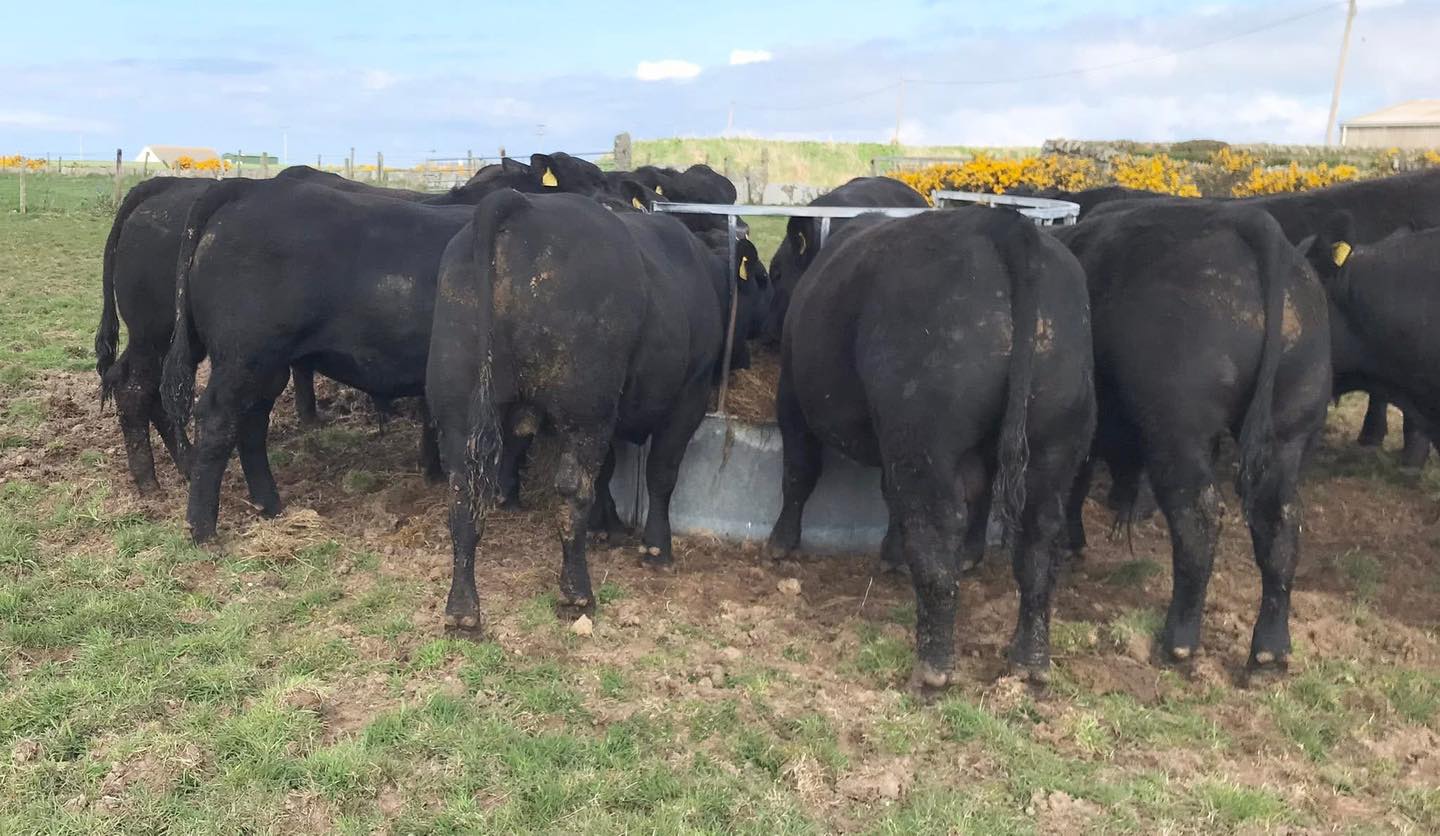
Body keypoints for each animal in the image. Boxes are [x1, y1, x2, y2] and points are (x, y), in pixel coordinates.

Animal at [425, 189, 769, 632]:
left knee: (463, 493)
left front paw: (610, 528)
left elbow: (608, 472)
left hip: (460, 409)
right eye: (762, 278)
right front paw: (656, 548)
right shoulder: (687, 397)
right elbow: (660, 474)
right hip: (583, 412)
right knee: (572, 492)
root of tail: (521, 206)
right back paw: (577, 594)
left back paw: (463, 610)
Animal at [765, 207, 1095, 691]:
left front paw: (781, 543)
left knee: (936, 527)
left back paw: (932, 668)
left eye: (774, 272)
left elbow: (798, 473)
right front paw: (891, 554)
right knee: (1039, 539)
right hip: (1054, 438)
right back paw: (1030, 661)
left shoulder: (793, 396)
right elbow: (889, 495)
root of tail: (1003, 223)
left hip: (924, 436)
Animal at [1054, 201, 1331, 675]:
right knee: (1281, 523)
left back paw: (1179, 641)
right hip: (1288, 429)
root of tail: (1251, 222)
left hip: (1179, 428)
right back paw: (1269, 651)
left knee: (1197, 518)